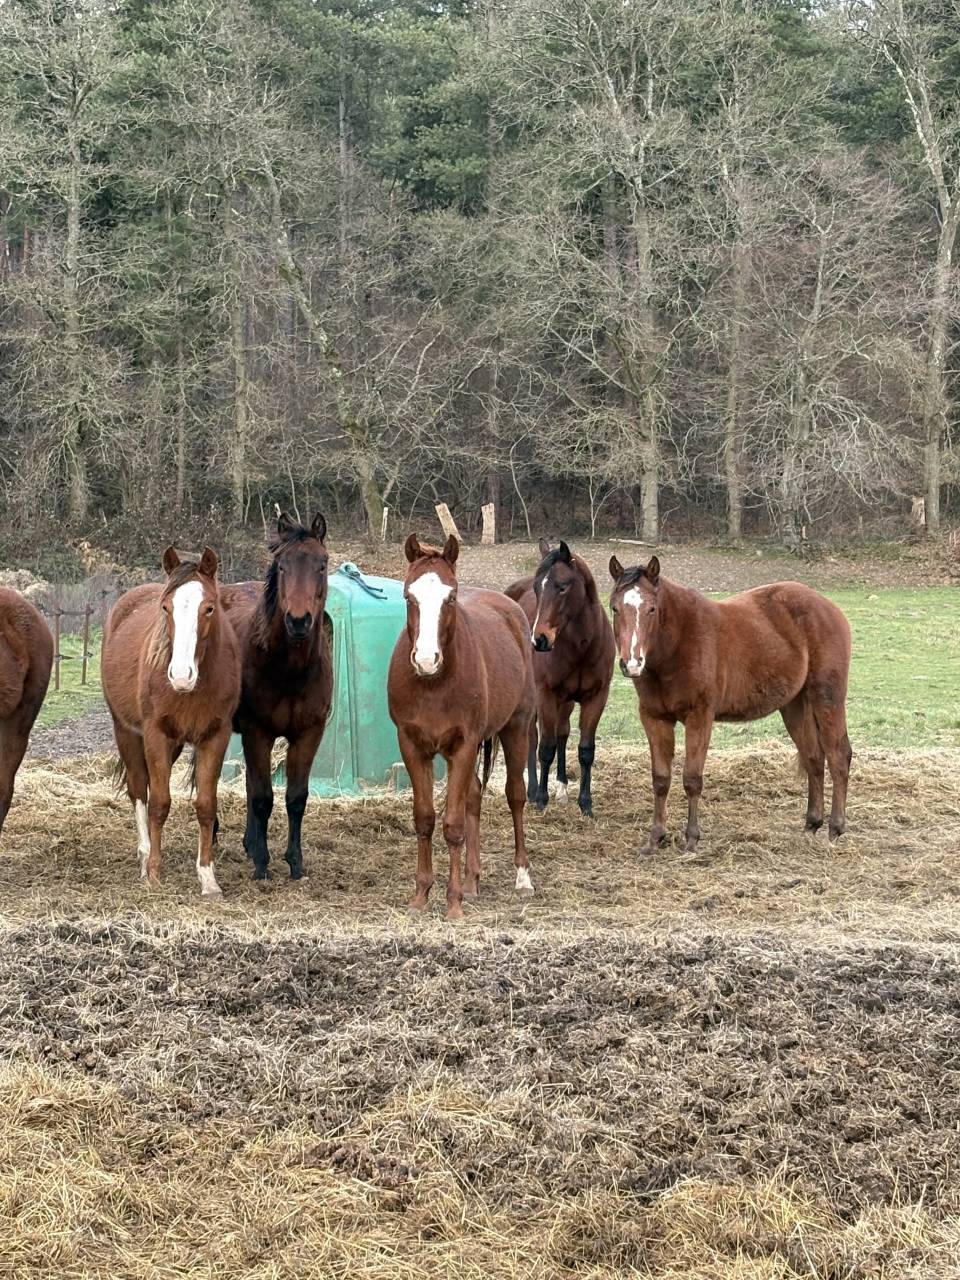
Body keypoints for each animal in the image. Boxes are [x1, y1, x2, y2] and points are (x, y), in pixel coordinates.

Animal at [101, 546, 241, 897]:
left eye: (209, 608)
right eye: (166, 607)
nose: (180, 675)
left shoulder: (215, 737)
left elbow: (206, 805)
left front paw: (207, 878)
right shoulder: (155, 735)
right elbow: (159, 803)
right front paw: (153, 872)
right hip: (127, 732)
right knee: (140, 789)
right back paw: (144, 853)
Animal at [220, 513, 332, 881]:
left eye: (322, 564)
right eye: (282, 566)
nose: (298, 621)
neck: (290, 671)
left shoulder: (309, 734)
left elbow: (296, 798)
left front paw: (295, 863)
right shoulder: (258, 732)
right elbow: (263, 798)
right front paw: (262, 864)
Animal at [388, 534, 536, 920]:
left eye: (451, 597)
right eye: (408, 596)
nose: (426, 660)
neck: (433, 684)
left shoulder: (465, 745)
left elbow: (453, 824)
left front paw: (452, 902)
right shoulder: (412, 745)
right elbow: (425, 818)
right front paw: (421, 895)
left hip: (516, 728)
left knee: (515, 795)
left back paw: (522, 878)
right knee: (474, 796)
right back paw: (471, 881)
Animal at [505, 538, 615, 817]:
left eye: (562, 587)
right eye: (537, 588)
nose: (540, 640)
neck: (582, 646)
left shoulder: (596, 697)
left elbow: (585, 750)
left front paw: (585, 803)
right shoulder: (546, 695)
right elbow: (546, 747)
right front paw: (542, 798)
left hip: (566, 701)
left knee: (563, 733)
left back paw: (562, 787)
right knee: (533, 738)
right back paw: (533, 790)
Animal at [609, 555, 852, 853]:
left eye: (652, 608)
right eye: (614, 607)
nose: (632, 663)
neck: (678, 642)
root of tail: (829, 608)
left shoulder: (699, 717)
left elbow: (692, 779)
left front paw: (692, 839)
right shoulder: (654, 718)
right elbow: (660, 780)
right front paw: (655, 837)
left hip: (827, 697)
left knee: (838, 755)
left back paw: (835, 828)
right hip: (795, 704)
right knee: (814, 758)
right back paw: (811, 824)